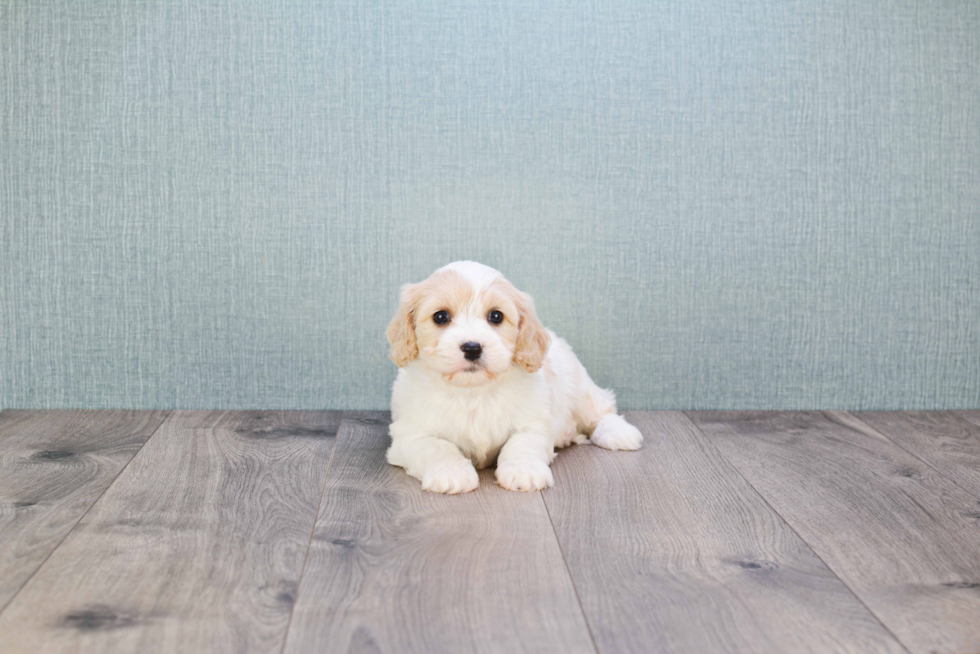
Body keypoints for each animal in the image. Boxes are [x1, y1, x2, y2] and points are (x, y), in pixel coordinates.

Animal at [386, 258, 648, 494]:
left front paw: (524, 472)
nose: (472, 347)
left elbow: (520, 444)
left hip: (580, 386)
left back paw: (619, 433)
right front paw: (451, 473)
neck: (473, 391)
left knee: (601, 409)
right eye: (440, 317)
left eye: (496, 316)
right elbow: (437, 446)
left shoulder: (533, 424)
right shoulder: (411, 434)